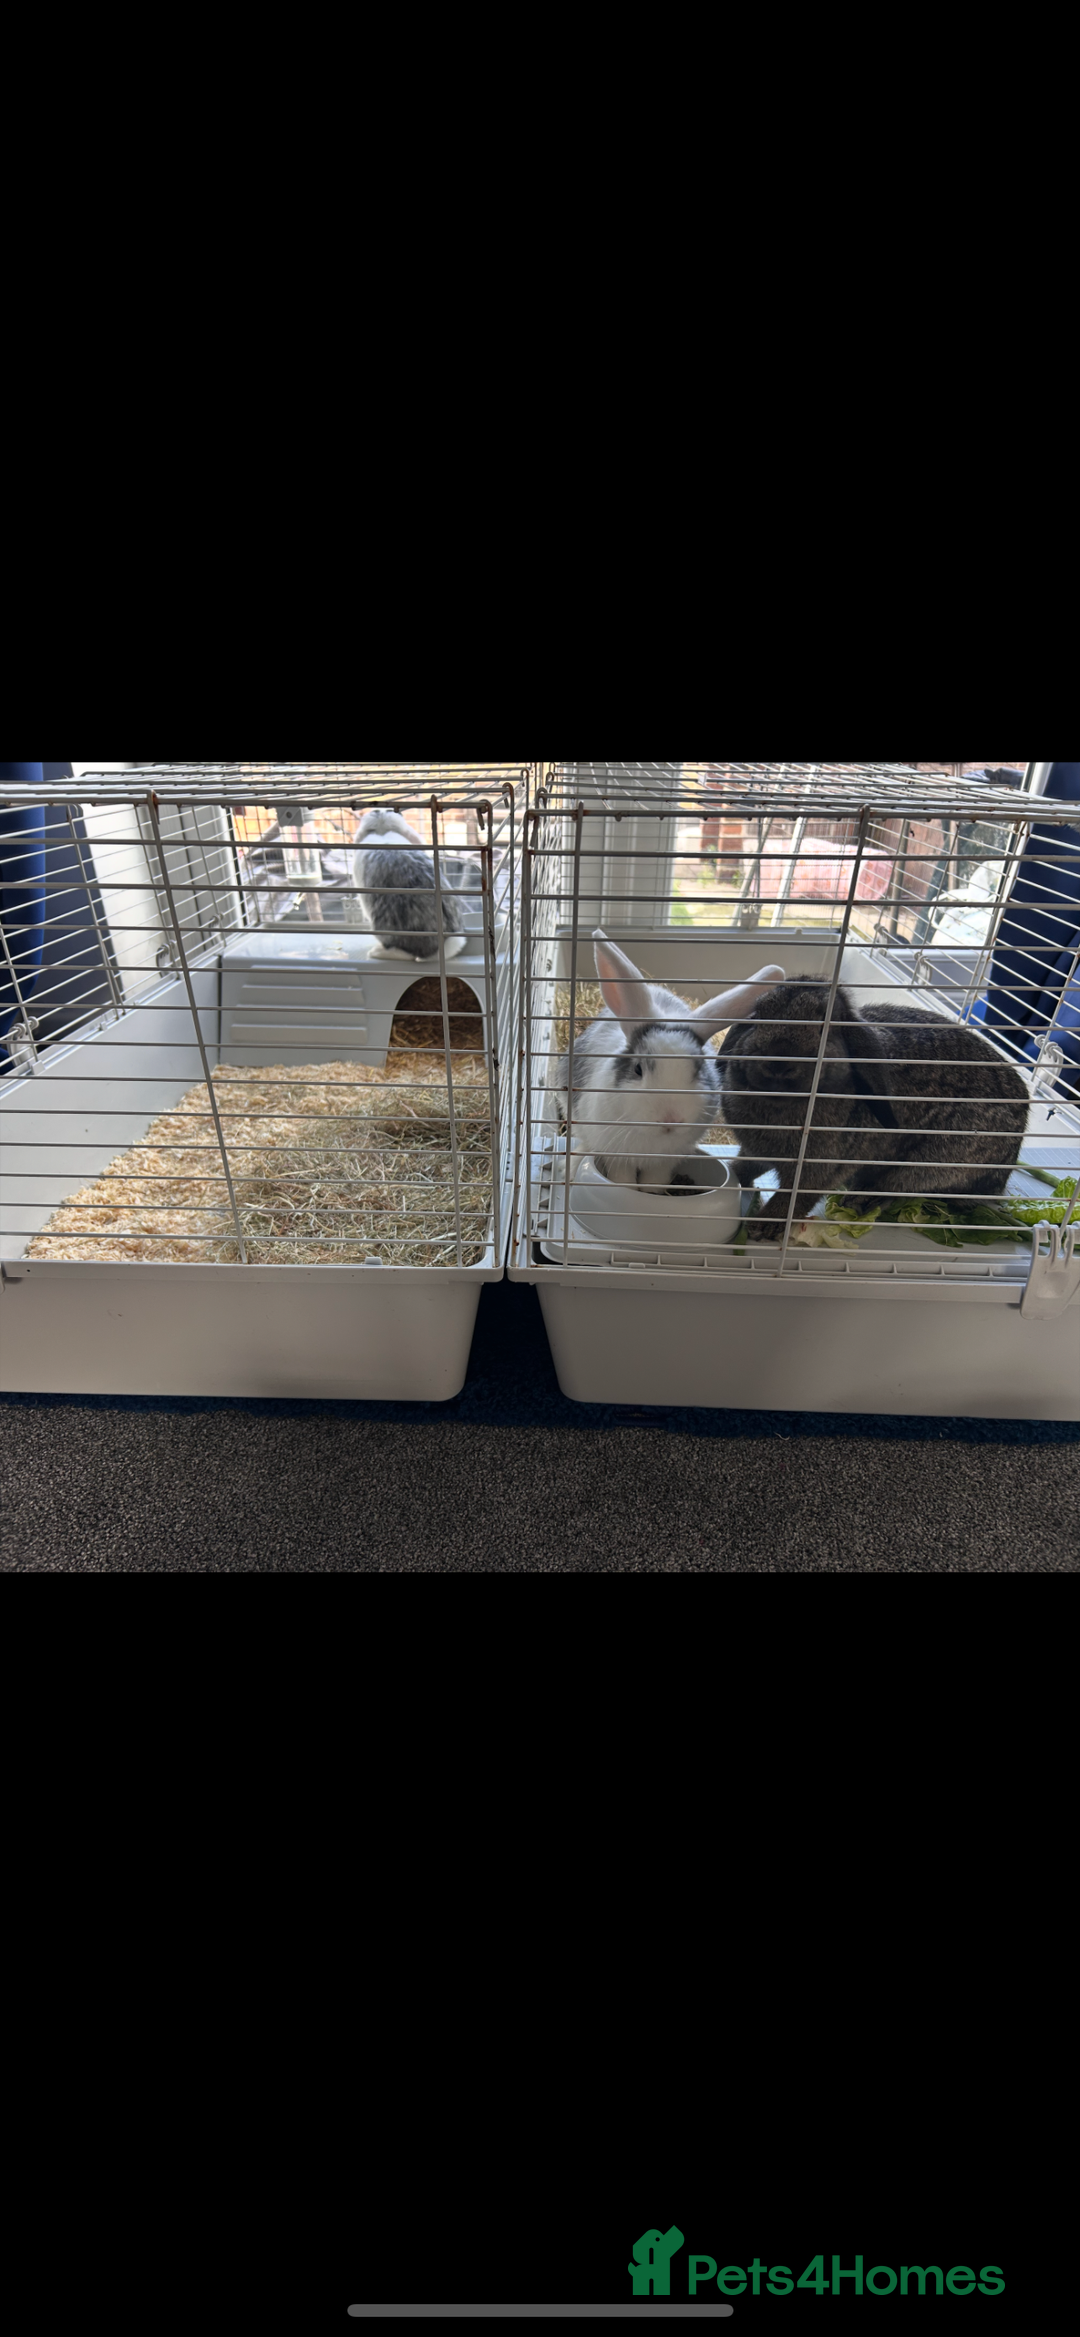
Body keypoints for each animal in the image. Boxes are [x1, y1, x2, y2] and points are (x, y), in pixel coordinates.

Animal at [554, 931, 786, 1190]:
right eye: (638, 1069)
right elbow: (623, 1180)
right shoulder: (617, 1155)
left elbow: (654, 1182)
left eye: (698, 1070)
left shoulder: (666, 1160)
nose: (671, 1120)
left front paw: (652, 1194)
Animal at [718, 978, 1030, 1240]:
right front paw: (731, 1174)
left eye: (826, 1029)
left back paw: (860, 1201)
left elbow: (796, 1197)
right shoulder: (755, 1151)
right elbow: (745, 1166)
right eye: (759, 1017)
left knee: (900, 1187)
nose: (778, 1062)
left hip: (934, 1164)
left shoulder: (819, 1167)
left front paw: (765, 1226)